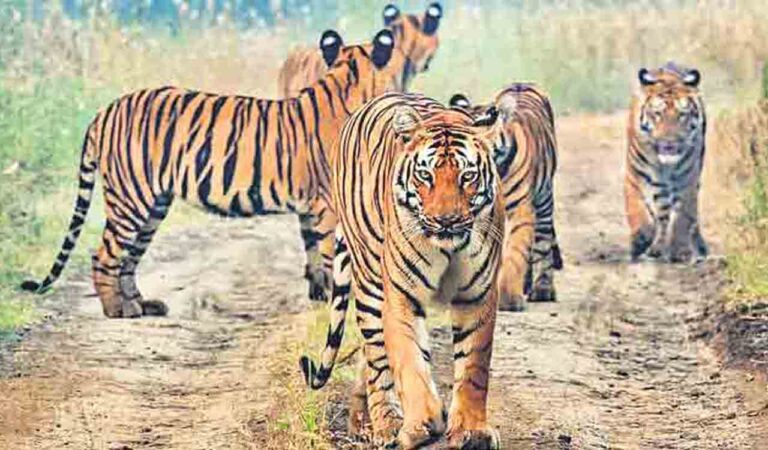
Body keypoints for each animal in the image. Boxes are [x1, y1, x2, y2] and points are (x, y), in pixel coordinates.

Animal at [20, 28, 404, 318]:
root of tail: (106, 110)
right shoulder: (328, 206)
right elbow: (334, 260)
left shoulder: (310, 208)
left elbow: (313, 253)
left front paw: (319, 298)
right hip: (131, 199)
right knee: (104, 255)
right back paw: (118, 309)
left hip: (154, 205)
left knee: (128, 259)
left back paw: (143, 304)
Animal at [300, 92, 510, 449]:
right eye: (425, 176)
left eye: (467, 176)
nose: (446, 221)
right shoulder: (401, 294)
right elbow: (409, 363)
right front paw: (421, 424)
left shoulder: (477, 295)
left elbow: (473, 368)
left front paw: (471, 432)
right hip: (369, 282)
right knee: (376, 358)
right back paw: (384, 424)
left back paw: (363, 422)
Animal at [449, 83, 562, 311]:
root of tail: (522, 83)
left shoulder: (520, 211)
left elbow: (515, 253)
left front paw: (509, 298)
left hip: (544, 199)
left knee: (543, 241)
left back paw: (542, 289)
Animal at [625, 62, 708, 263]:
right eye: (657, 114)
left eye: (682, 115)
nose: (669, 143)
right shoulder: (634, 176)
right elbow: (636, 209)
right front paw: (641, 239)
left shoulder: (687, 181)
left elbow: (683, 216)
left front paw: (680, 250)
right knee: (661, 213)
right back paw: (655, 247)